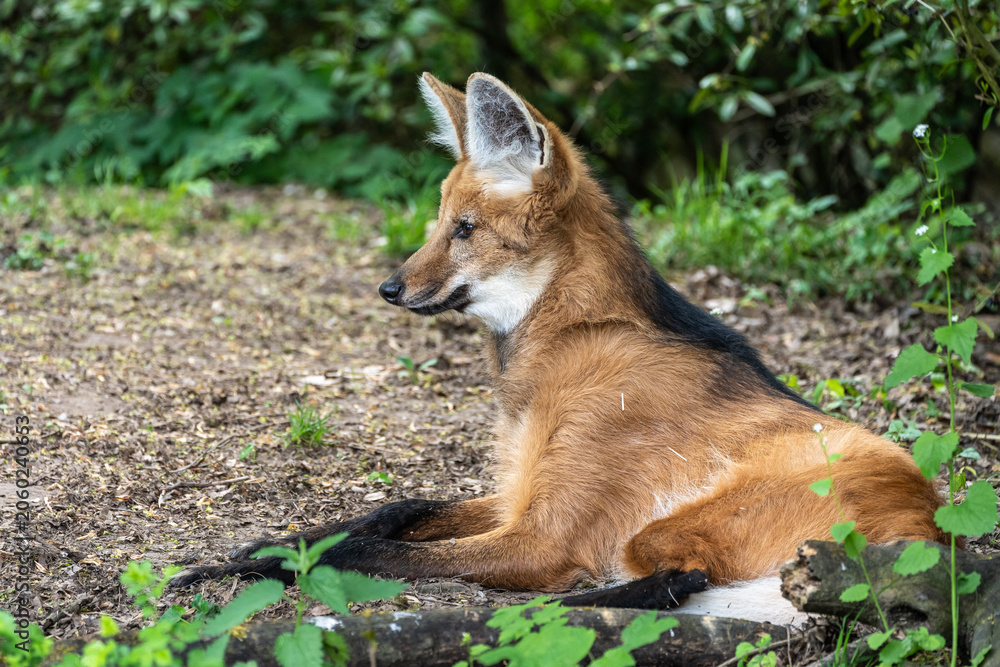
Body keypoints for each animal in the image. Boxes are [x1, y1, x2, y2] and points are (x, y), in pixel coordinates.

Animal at [173, 73, 944, 621]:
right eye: (439, 221)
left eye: (465, 228)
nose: (389, 287)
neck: (560, 339)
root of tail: (931, 529)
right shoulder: (515, 492)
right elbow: (395, 510)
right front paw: (261, 545)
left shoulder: (542, 537)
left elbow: (371, 546)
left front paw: (237, 567)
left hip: (671, 525)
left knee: (678, 575)